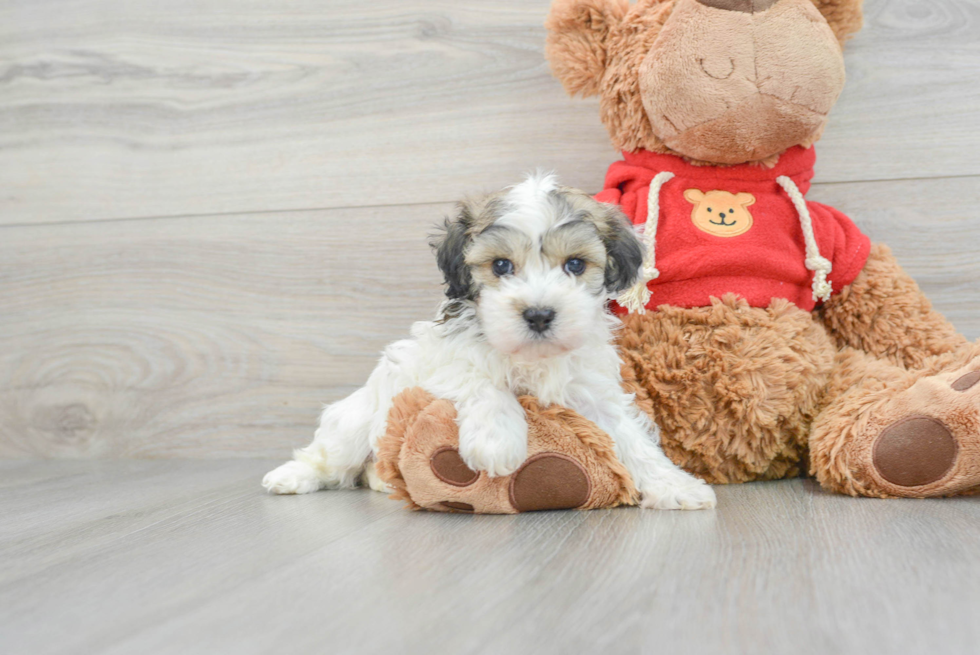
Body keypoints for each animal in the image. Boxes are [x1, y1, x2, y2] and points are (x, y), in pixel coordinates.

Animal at [264, 174, 716, 512]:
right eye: (500, 265)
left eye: (575, 264)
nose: (538, 314)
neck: (531, 358)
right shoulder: (438, 365)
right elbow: (483, 381)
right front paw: (497, 441)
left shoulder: (594, 392)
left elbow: (630, 438)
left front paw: (675, 485)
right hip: (356, 420)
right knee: (330, 455)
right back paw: (291, 477)